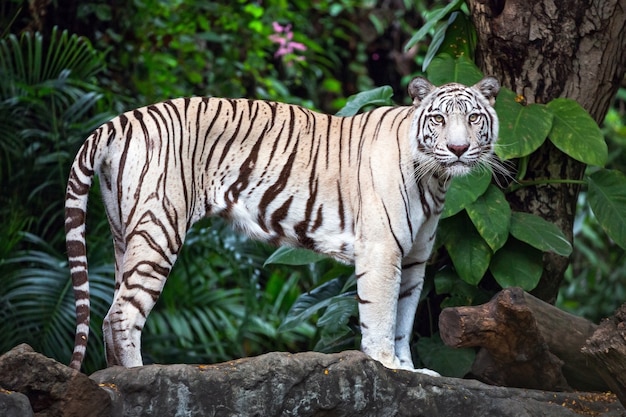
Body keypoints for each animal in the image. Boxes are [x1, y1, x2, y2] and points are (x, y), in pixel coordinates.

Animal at [66, 76, 500, 372]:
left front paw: (409, 370)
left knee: (110, 313)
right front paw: (388, 367)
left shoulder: (414, 259)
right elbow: (381, 316)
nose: (458, 149)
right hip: (160, 226)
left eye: (474, 117)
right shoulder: (382, 251)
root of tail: (123, 119)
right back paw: (138, 376)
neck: (436, 180)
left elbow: (404, 319)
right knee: (122, 314)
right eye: (439, 119)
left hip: (124, 232)